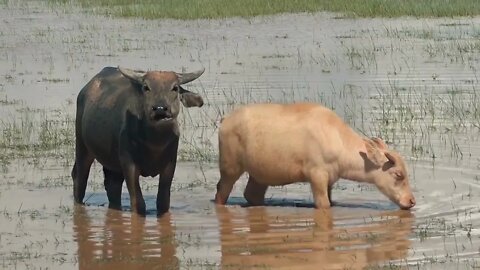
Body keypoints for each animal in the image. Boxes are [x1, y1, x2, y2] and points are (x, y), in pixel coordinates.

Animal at [72, 66, 203, 216]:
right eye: (146, 87)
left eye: (175, 88)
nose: (160, 109)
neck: (155, 143)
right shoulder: (129, 164)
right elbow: (138, 203)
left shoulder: (170, 165)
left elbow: (163, 202)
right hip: (82, 147)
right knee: (79, 177)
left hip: (112, 164)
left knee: (112, 185)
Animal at [216, 102, 414, 210]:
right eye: (398, 174)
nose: (411, 201)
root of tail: (224, 121)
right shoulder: (317, 175)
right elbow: (324, 204)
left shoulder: (330, 180)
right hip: (230, 168)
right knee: (221, 192)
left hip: (259, 174)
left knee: (252, 194)